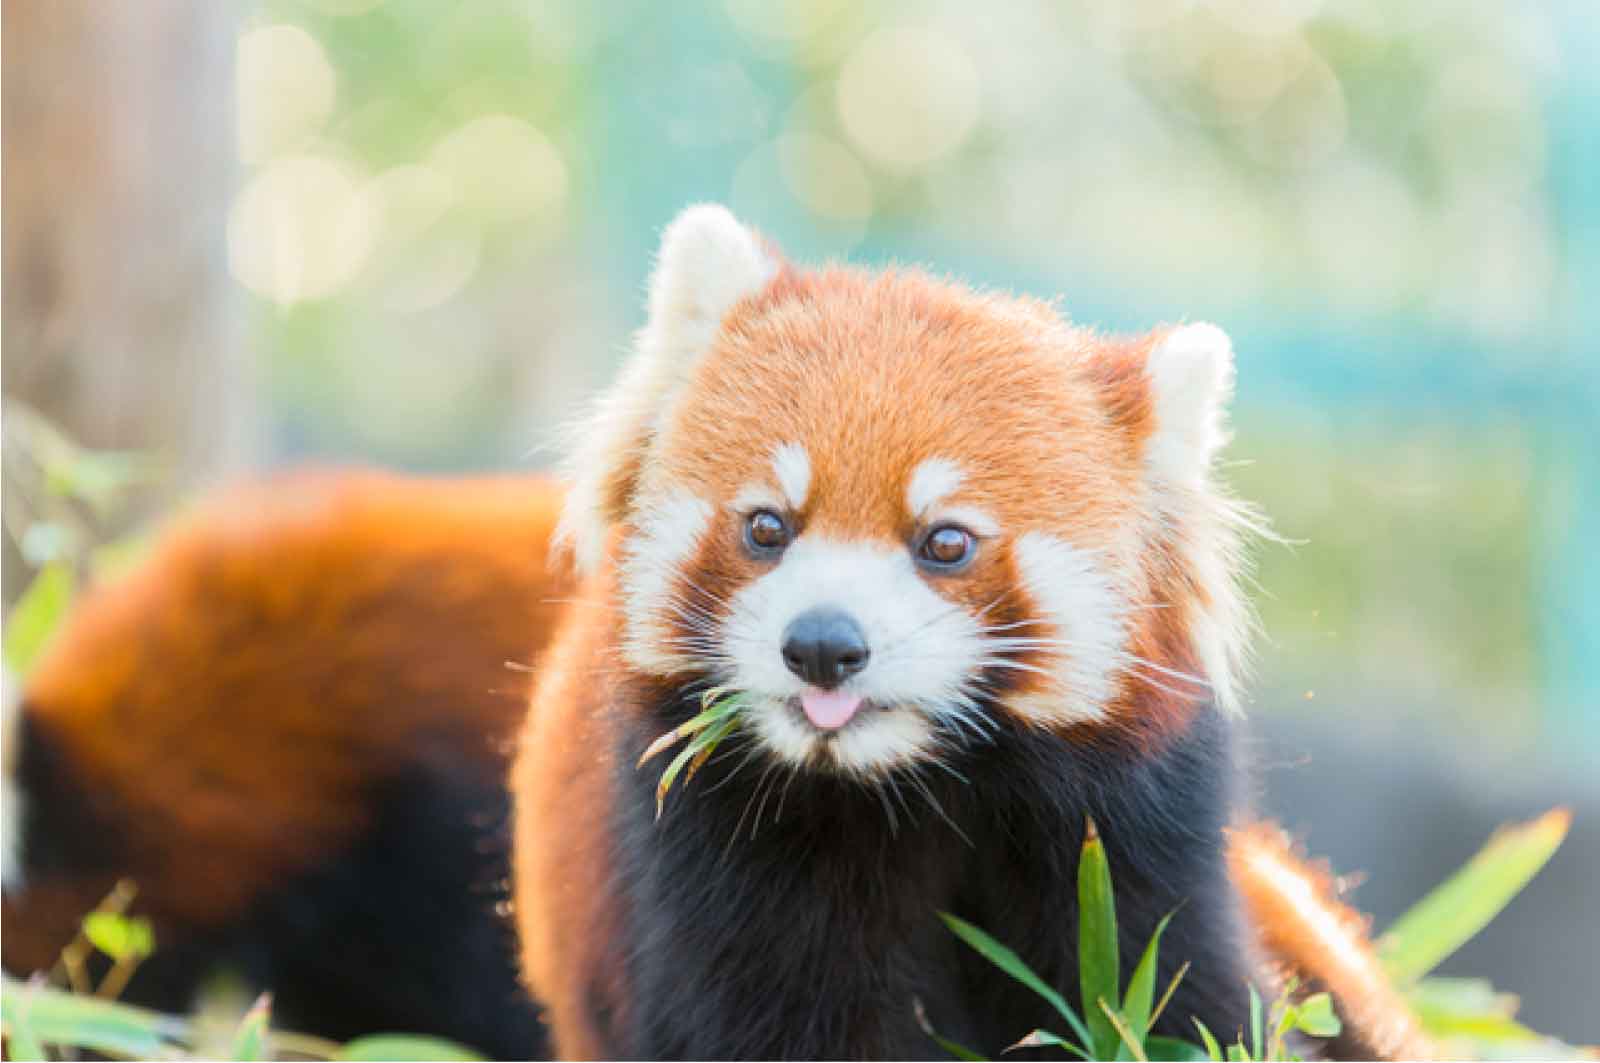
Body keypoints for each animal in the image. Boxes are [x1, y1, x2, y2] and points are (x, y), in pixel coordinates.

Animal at [512, 203, 1427, 1056]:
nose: (822, 647)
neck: (911, 789)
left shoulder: (1138, 846)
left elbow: (1185, 998)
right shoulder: (718, 876)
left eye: (946, 542)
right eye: (767, 526)